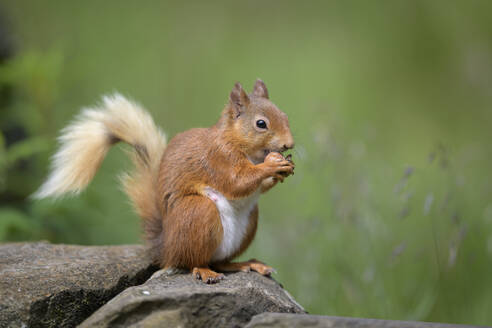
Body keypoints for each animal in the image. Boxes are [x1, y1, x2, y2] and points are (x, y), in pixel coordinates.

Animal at [36, 80, 296, 284]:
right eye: (261, 124)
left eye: (285, 116)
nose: (289, 144)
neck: (242, 145)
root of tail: (165, 248)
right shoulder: (218, 159)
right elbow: (236, 181)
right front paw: (271, 166)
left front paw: (281, 170)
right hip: (197, 213)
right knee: (191, 261)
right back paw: (205, 271)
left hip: (248, 223)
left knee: (220, 261)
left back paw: (245, 264)